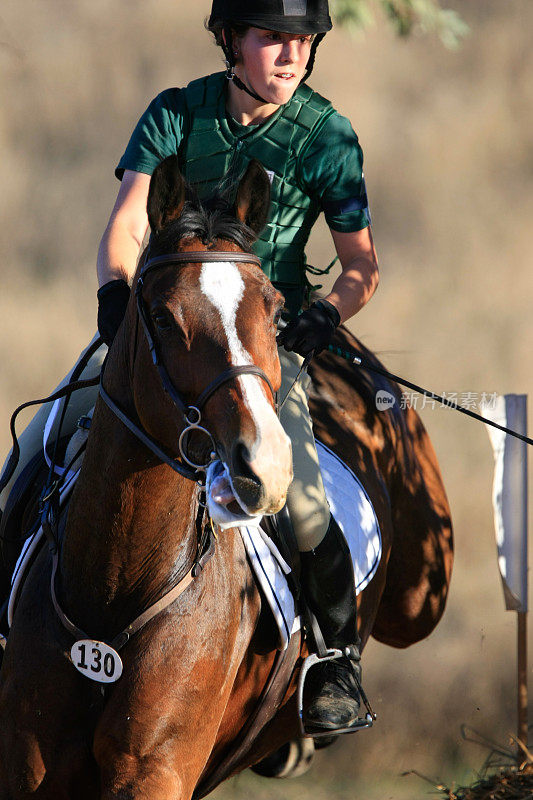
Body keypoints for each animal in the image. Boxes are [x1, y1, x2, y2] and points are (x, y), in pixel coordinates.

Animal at [0, 158, 454, 800]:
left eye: (274, 311)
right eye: (161, 317)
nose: (263, 463)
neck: (115, 586)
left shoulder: (155, 769)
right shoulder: (25, 762)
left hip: (420, 592)